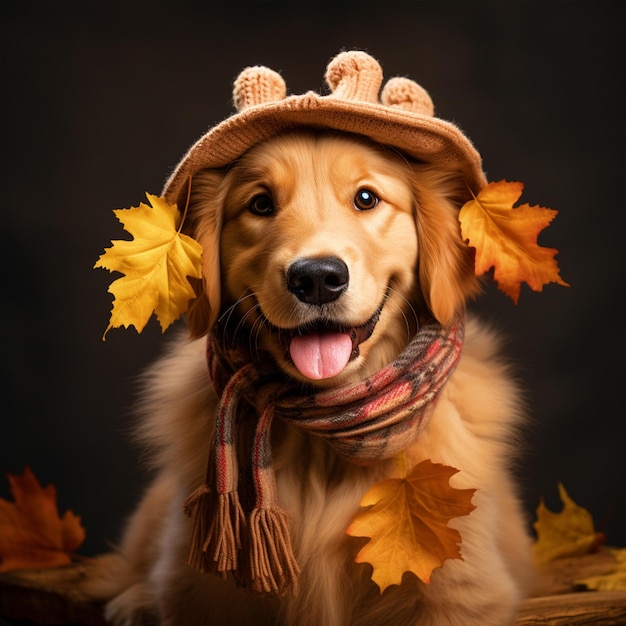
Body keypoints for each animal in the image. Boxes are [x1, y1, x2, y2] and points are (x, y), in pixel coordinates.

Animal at [88, 128, 532, 624]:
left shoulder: (463, 592)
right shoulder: (197, 591)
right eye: (261, 204)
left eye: (366, 198)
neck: (327, 436)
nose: (317, 278)